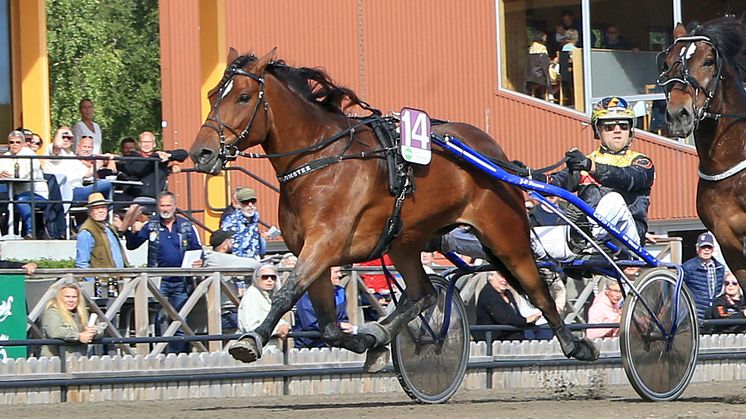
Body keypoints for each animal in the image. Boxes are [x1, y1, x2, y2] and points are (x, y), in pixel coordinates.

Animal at [189, 48, 596, 368]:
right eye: (212, 94)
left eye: (243, 97)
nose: (201, 153)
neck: (322, 159)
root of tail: (493, 153)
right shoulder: (310, 249)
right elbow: (329, 327)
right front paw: (367, 339)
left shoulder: (325, 242)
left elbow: (287, 292)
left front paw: (250, 340)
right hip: (405, 240)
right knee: (423, 293)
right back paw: (383, 331)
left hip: (505, 231)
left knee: (536, 286)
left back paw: (576, 344)